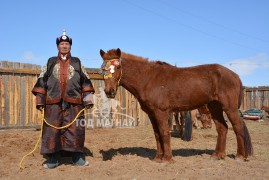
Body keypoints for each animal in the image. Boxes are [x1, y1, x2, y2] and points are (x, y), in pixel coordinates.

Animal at [99, 48, 252, 162]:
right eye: (102, 68)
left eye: (118, 66)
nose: (109, 91)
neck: (148, 79)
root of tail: (235, 76)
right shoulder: (152, 114)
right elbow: (157, 135)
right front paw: (158, 158)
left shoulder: (161, 112)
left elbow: (164, 133)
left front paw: (167, 158)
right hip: (215, 107)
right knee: (222, 128)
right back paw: (217, 155)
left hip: (229, 108)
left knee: (237, 127)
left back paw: (240, 156)